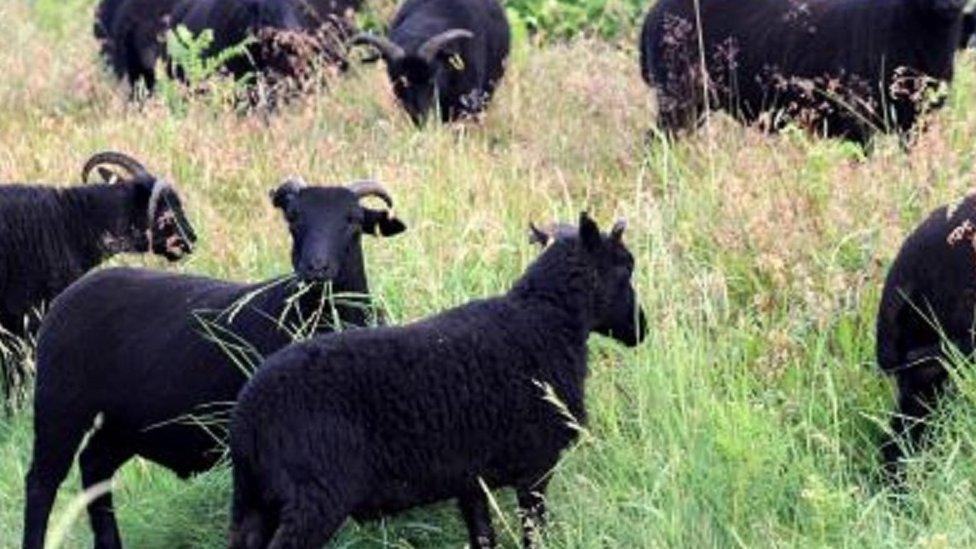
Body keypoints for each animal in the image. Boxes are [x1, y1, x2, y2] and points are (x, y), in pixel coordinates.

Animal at [21, 177, 404, 548]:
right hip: (60, 405)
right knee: (42, 481)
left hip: (124, 421)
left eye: (353, 219)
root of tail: (68, 295)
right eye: (294, 218)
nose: (316, 268)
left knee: (94, 465)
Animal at [225, 213, 644, 548]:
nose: (642, 330)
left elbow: (483, 537)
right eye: (626, 268)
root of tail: (248, 416)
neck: (549, 320)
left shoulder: (471, 479)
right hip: (314, 497)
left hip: (255, 501)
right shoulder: (536, 466)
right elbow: (533, 536)